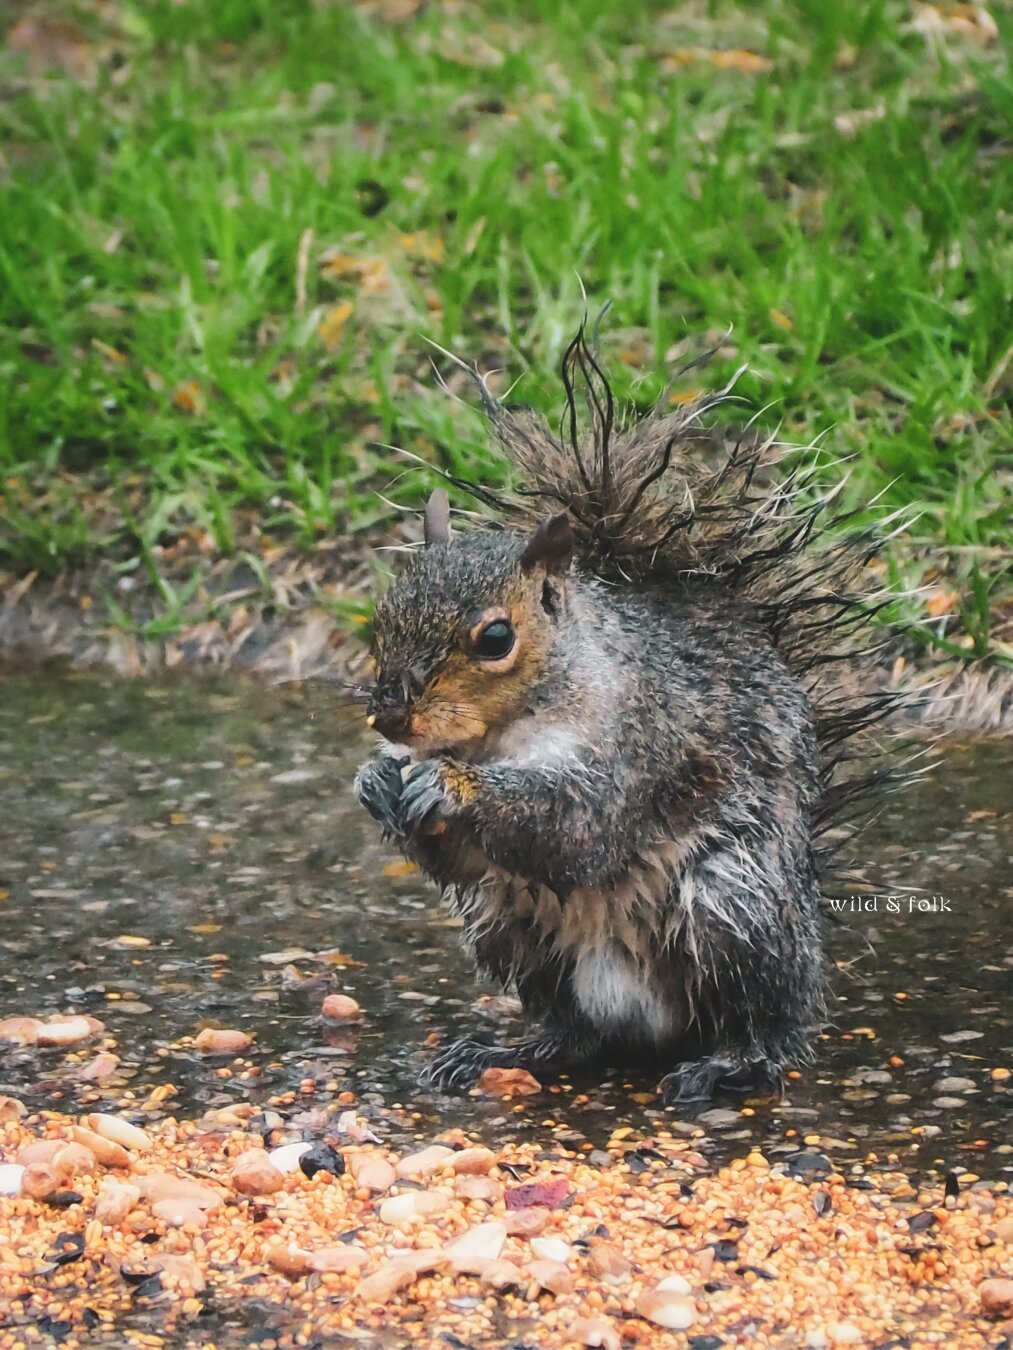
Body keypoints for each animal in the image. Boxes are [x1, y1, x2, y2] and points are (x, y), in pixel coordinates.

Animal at [354, 324, 902, 1103]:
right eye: (383, 616)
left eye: (495, 639)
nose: (391, 718)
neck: (499, 735)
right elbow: (458, 858)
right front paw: (376, 781)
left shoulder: (641, 747)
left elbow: (578, 827)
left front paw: (453, 787)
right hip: (511, 928)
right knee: (574, 1032)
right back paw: (503, 1051)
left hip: (732, 904)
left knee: (768, 1023)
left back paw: (732, 1061)